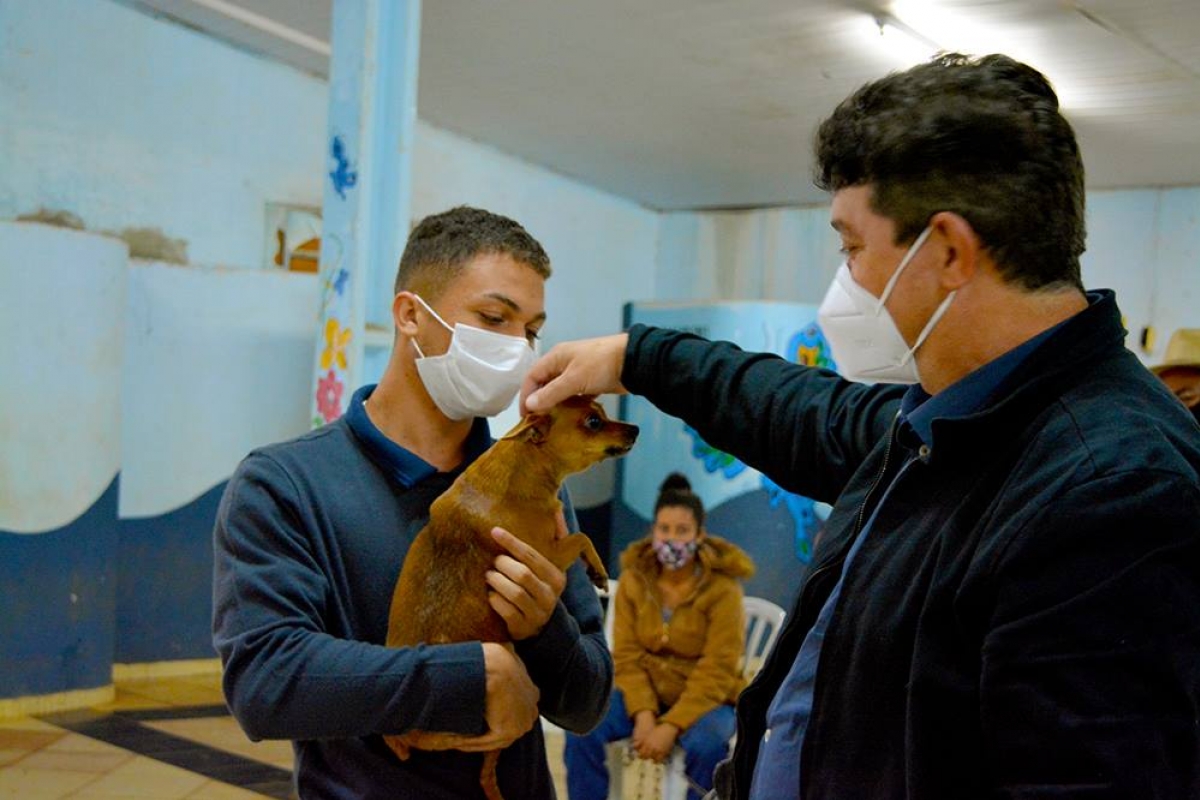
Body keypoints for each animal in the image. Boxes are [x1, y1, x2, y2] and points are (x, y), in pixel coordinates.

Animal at [388, 395, 643, 800]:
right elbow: (580, 536)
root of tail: (408, 736)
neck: (525, 466)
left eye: (603, 412)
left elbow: (578, 535)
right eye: (593, 422)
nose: (635, 429)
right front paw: (598, 569)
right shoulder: (546, 554)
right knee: (487, 766)